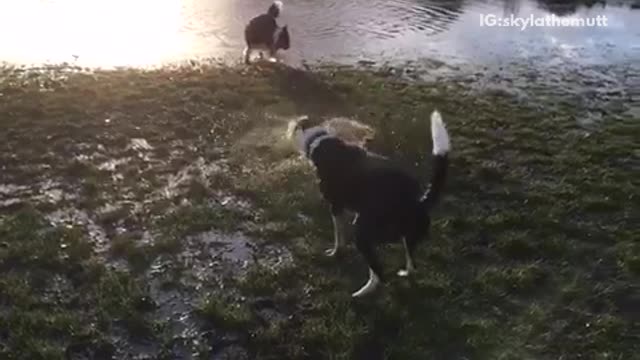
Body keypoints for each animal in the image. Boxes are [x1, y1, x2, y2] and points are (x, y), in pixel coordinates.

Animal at [292, 111, 452, 296]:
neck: (321, 140)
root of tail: (418, 202)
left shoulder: (336, 207)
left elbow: (338, 237)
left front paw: (335, 252)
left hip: (363, 233)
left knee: (379, 273)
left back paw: (362, 293)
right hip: (406, 238)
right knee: (411, 265)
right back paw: (404, 274)